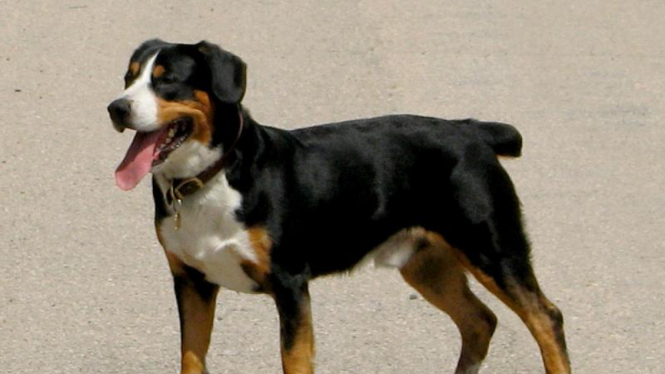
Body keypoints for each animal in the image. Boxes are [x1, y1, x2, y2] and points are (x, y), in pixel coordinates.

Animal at [107, 40, 572, 374]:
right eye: (128, 78)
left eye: (167, 80)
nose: (116, 107)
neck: (210, 178)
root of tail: (473, 131)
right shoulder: (191, 281)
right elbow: (191, 357)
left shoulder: (290, 283)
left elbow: (293, 361)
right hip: (427, 265)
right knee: (480, 321)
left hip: (492, 249)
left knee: (546, 318)